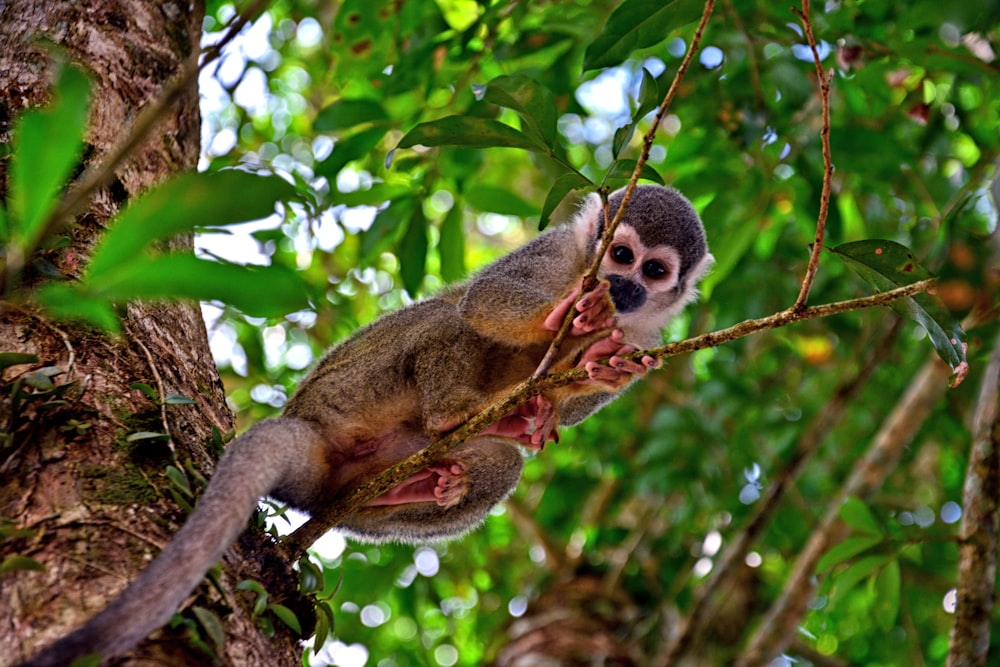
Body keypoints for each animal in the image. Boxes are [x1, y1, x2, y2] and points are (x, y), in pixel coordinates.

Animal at [15, 184, 712, 667]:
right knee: (445, 317)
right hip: (347, 390)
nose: (622, 286)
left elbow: (583, 392)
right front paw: (567, 313)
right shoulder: (557, 251)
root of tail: (307, 430)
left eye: (654, 271)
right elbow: (483, 304)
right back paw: (450, 410)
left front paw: (588, 372)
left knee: (496, 460)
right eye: (619, 253)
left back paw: (419, 482)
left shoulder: (650, 332)